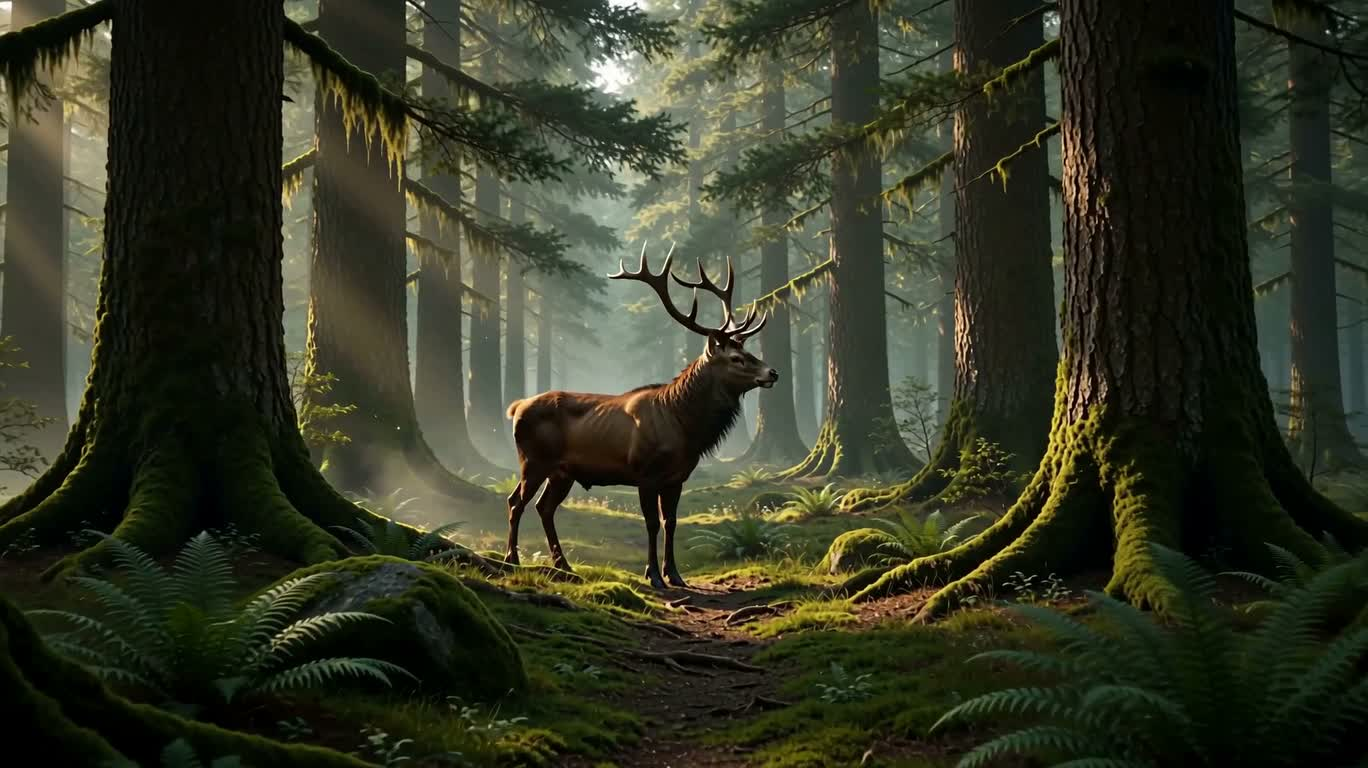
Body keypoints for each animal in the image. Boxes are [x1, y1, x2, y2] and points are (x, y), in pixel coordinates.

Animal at [503, 242, 778, 589]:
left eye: (748, 351)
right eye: (736, 358)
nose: (773, 373)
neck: (683, 427)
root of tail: (516, 407)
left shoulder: (677, 477)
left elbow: (671, 521)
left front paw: (675, 574)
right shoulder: (645, 473)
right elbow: (651, 523)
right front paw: (653, 575)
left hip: (562, 471)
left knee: (544, 507)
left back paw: (564, 564)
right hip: (533, 459)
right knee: (516, 501)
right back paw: (512, 559)